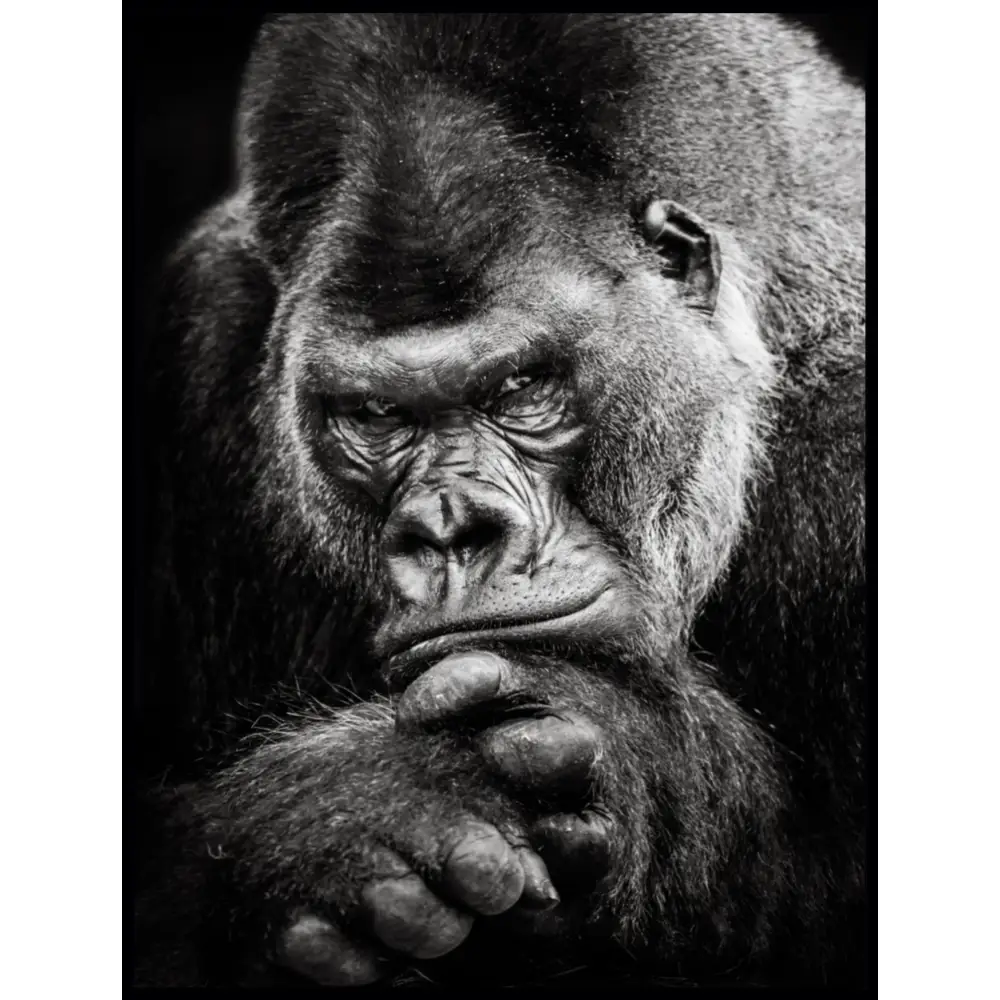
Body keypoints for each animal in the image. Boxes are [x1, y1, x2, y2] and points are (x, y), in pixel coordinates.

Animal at [135, 13, 865, 989]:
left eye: (521, 387)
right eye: (375, 414)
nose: (451, 529)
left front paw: (633, 754)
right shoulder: (203, 334)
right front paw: (338, 819)